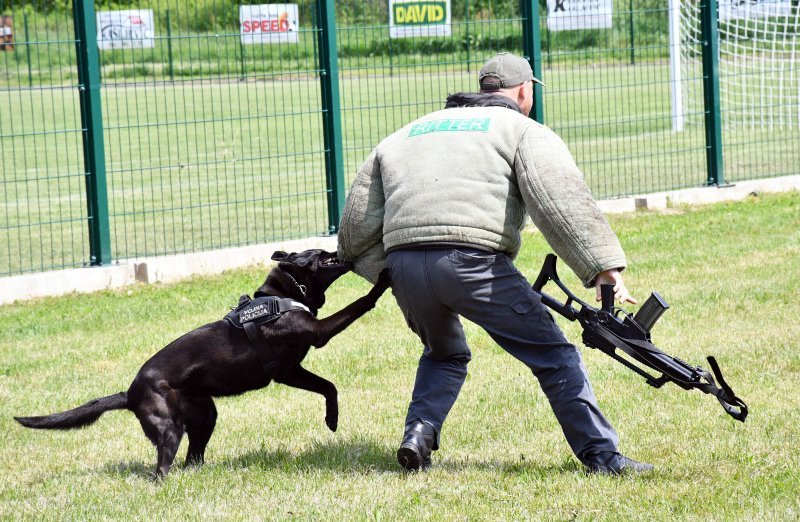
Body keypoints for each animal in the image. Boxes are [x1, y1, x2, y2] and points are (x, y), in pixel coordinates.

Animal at [12, 248, 388, 476]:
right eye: (320, 254)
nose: (337, 248)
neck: (284, 296)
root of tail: (129, 393)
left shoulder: (288, 371)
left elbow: (329, 387)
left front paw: (332, 420)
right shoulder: (317, 335)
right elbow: (360, 303)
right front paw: (382, 282)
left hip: (205, 416)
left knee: (193, 458)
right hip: (169, 428)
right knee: (161, 469)